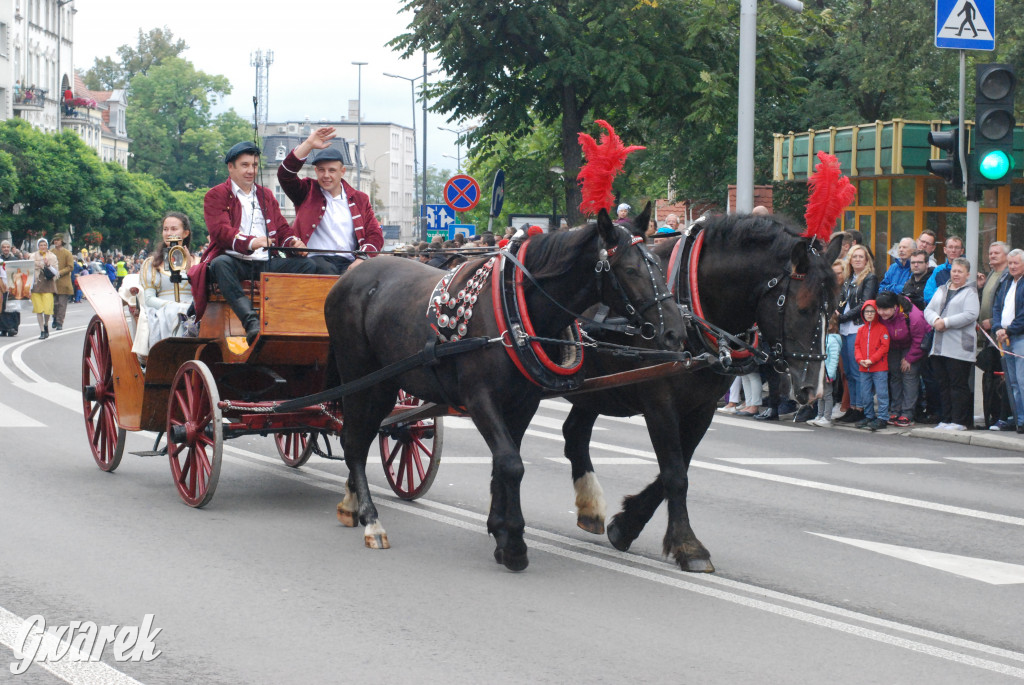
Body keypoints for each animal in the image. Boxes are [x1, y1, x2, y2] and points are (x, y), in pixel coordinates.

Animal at [323, 208, 684, 573]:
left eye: (657, 263)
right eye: (630, 269)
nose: (676, 332)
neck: (513, 313)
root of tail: (352, 275)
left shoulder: (524, 404)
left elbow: (506, 461)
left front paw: (501, 530)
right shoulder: (480, 399)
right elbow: (511, 463)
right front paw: (513, 543)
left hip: (382, 384)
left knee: (361, 437)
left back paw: (351, 503)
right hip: (364, 380)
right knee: (354, 441)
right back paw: (370, 519)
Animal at [561, 213, 839, 573]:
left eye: (833, 308)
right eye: (803, 308)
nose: (812, 389)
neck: (689, 306)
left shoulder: (702, 408)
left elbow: (678, 468)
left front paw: (626, 525)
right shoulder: (659, 404)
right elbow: (675, 474)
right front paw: (688, 546)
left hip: (595, 390)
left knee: (574, 434)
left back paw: (591, 509)